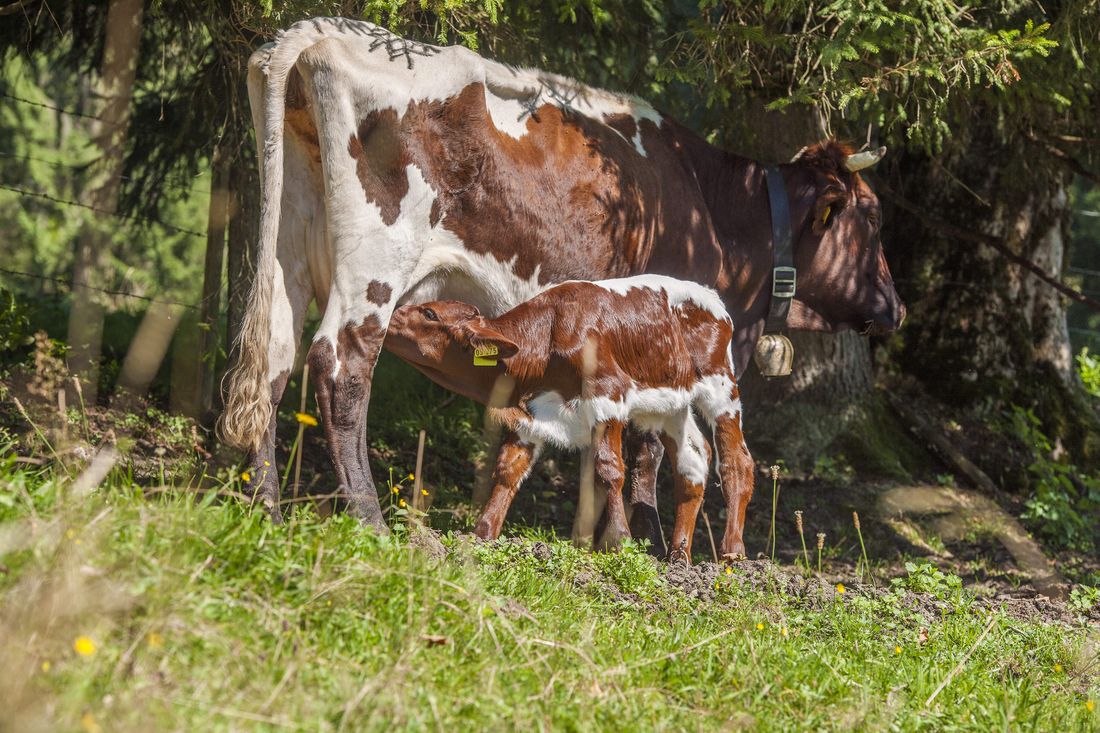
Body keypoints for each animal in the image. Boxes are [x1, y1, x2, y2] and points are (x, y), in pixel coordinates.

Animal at [383, 275, 754, 559]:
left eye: (429, 312)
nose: (391, 314)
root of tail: (712, 298)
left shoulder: (608, 394)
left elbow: (609, 469)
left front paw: (620, 539)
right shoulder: (530, 413)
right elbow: (508, 469)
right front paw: (483, 533)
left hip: (720, 385)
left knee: (736, 461)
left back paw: (731, 552)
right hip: (668, 404)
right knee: (693, 459)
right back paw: (679, 556)